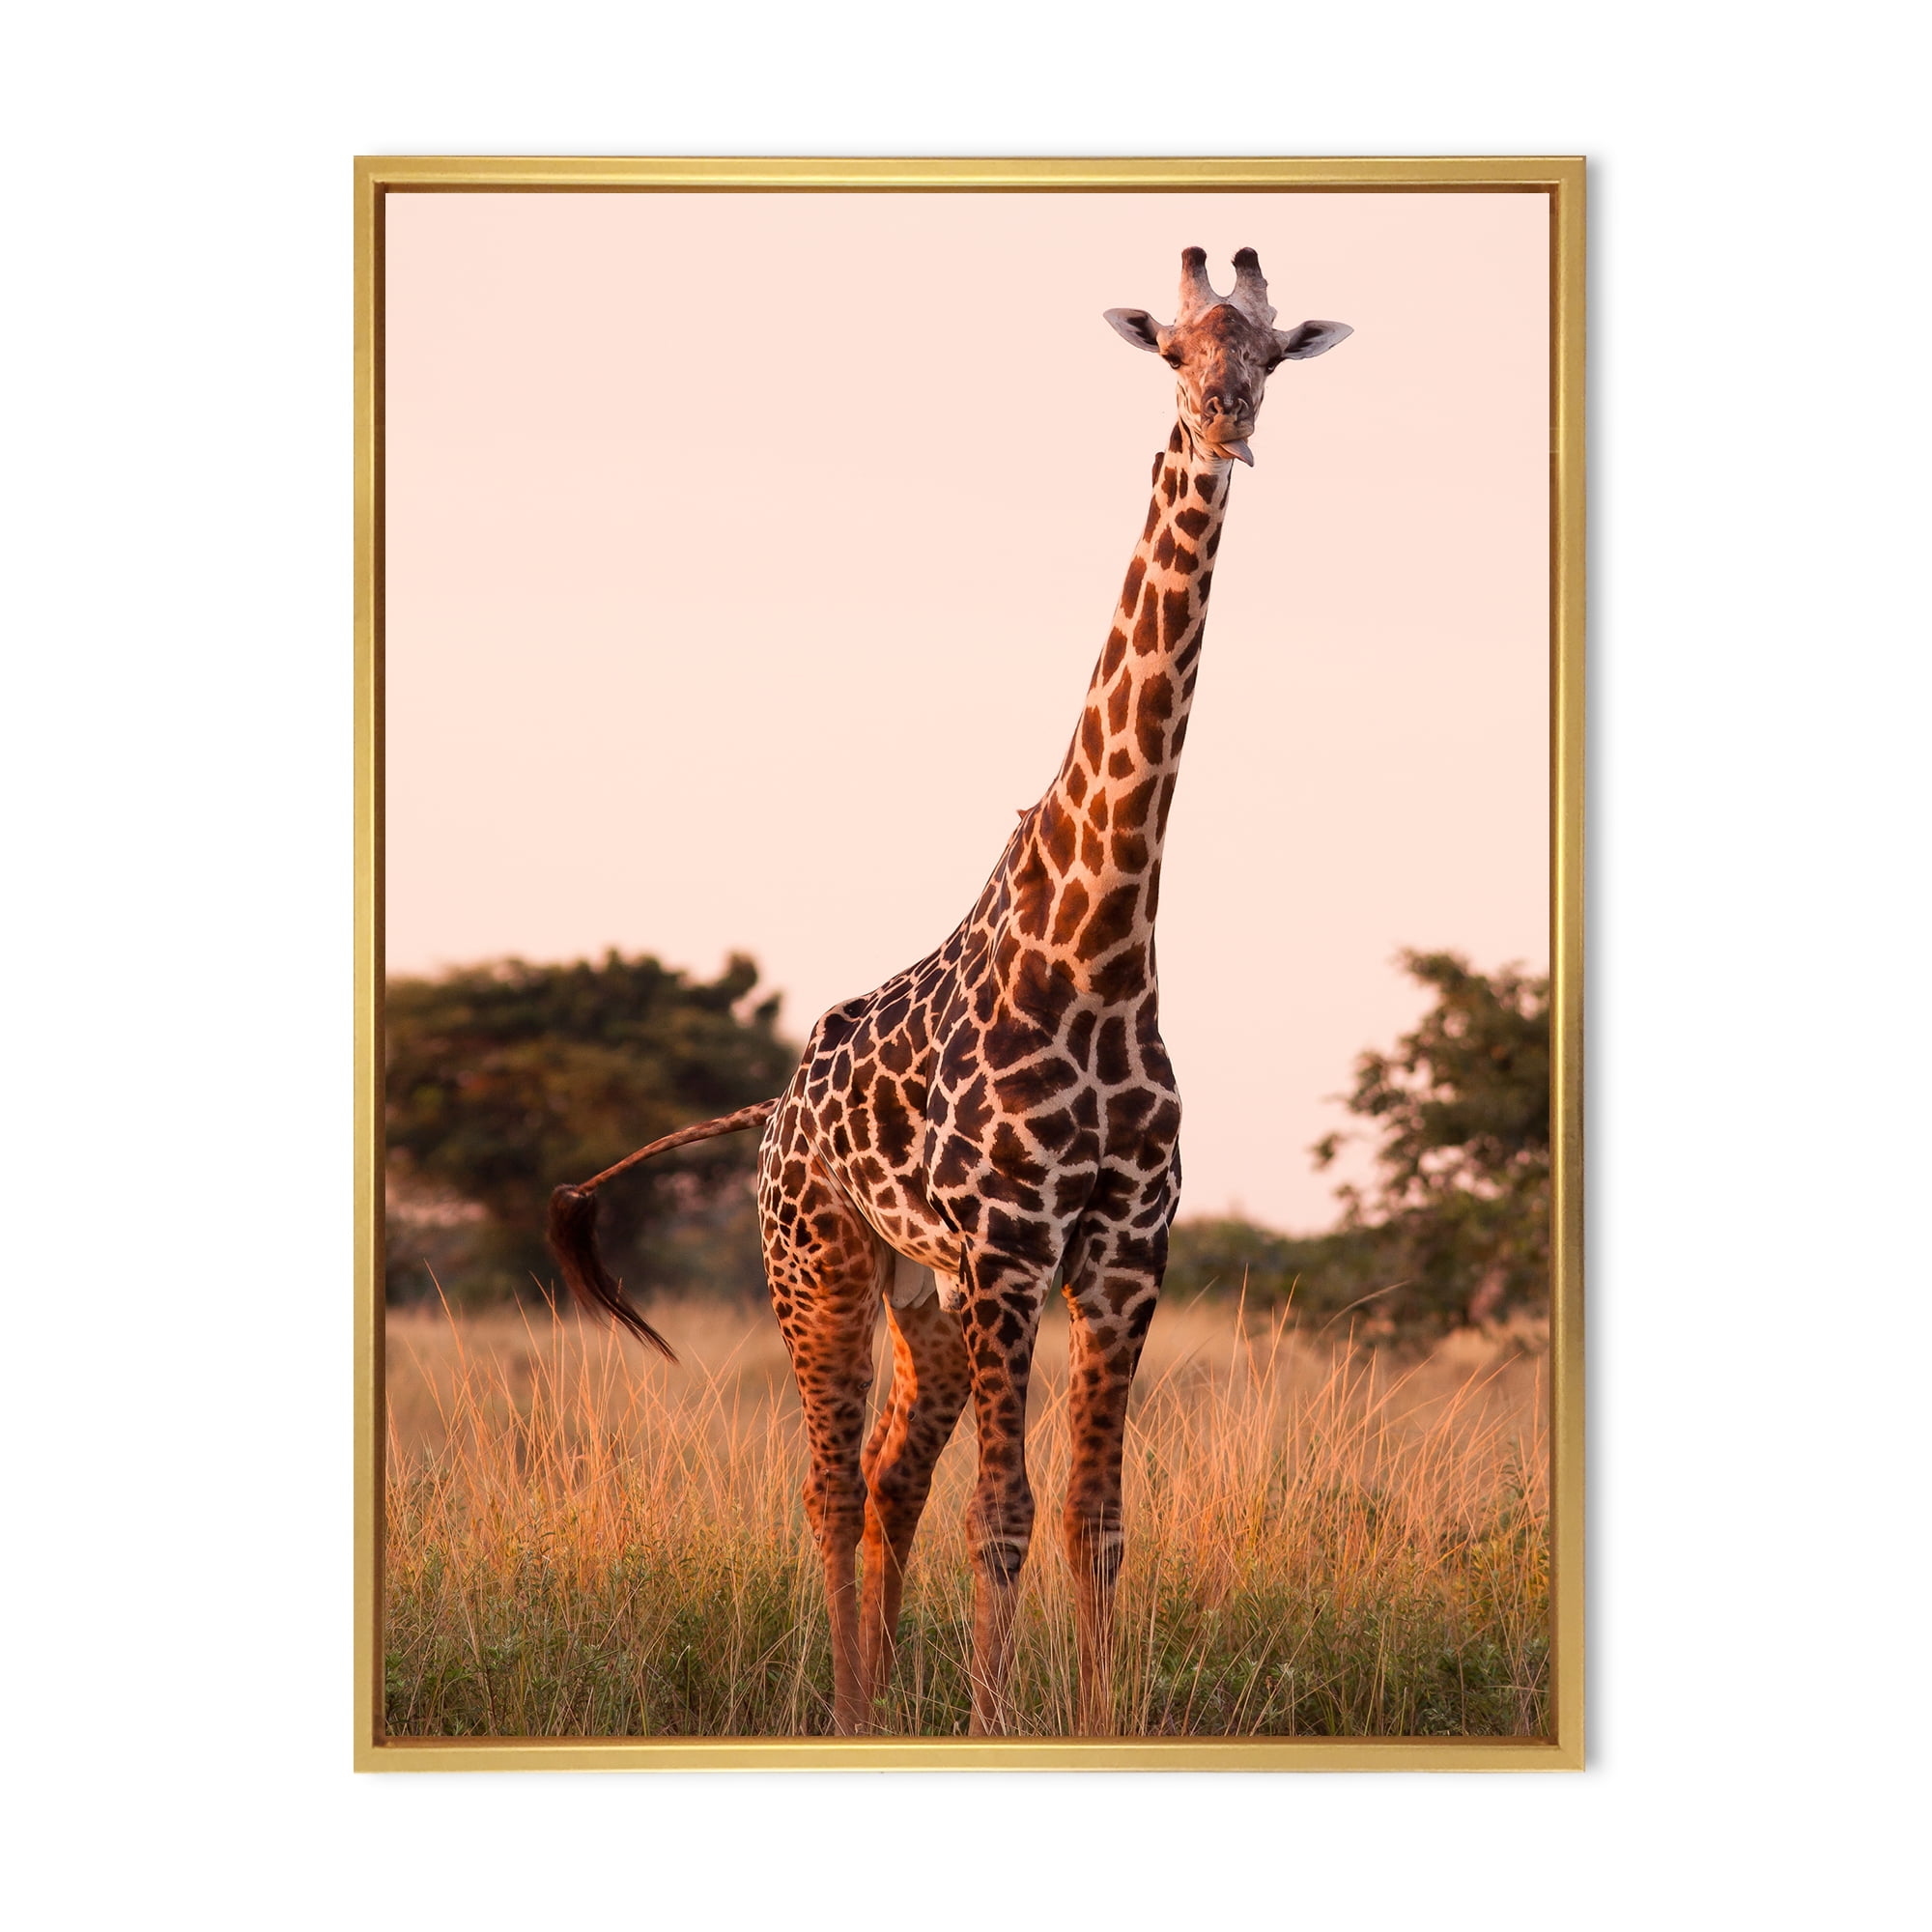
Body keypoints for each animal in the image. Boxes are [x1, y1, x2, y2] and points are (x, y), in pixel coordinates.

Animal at [549, 246, 1350, 1736]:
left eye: (1269, 354)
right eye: (1173, 354)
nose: (1225, 422)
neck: (1099, 950)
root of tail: (772, 1112)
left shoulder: (1123, 1255)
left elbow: (1095, 1516)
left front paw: (1097, 1719)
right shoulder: (1010, 1251)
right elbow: (1008, 1513)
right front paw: (992, 1720)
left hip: (920, 1299)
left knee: (885, 1480)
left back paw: (874, 1697)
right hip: (819, 1266)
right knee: (825, 1482)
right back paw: (847, 1707)